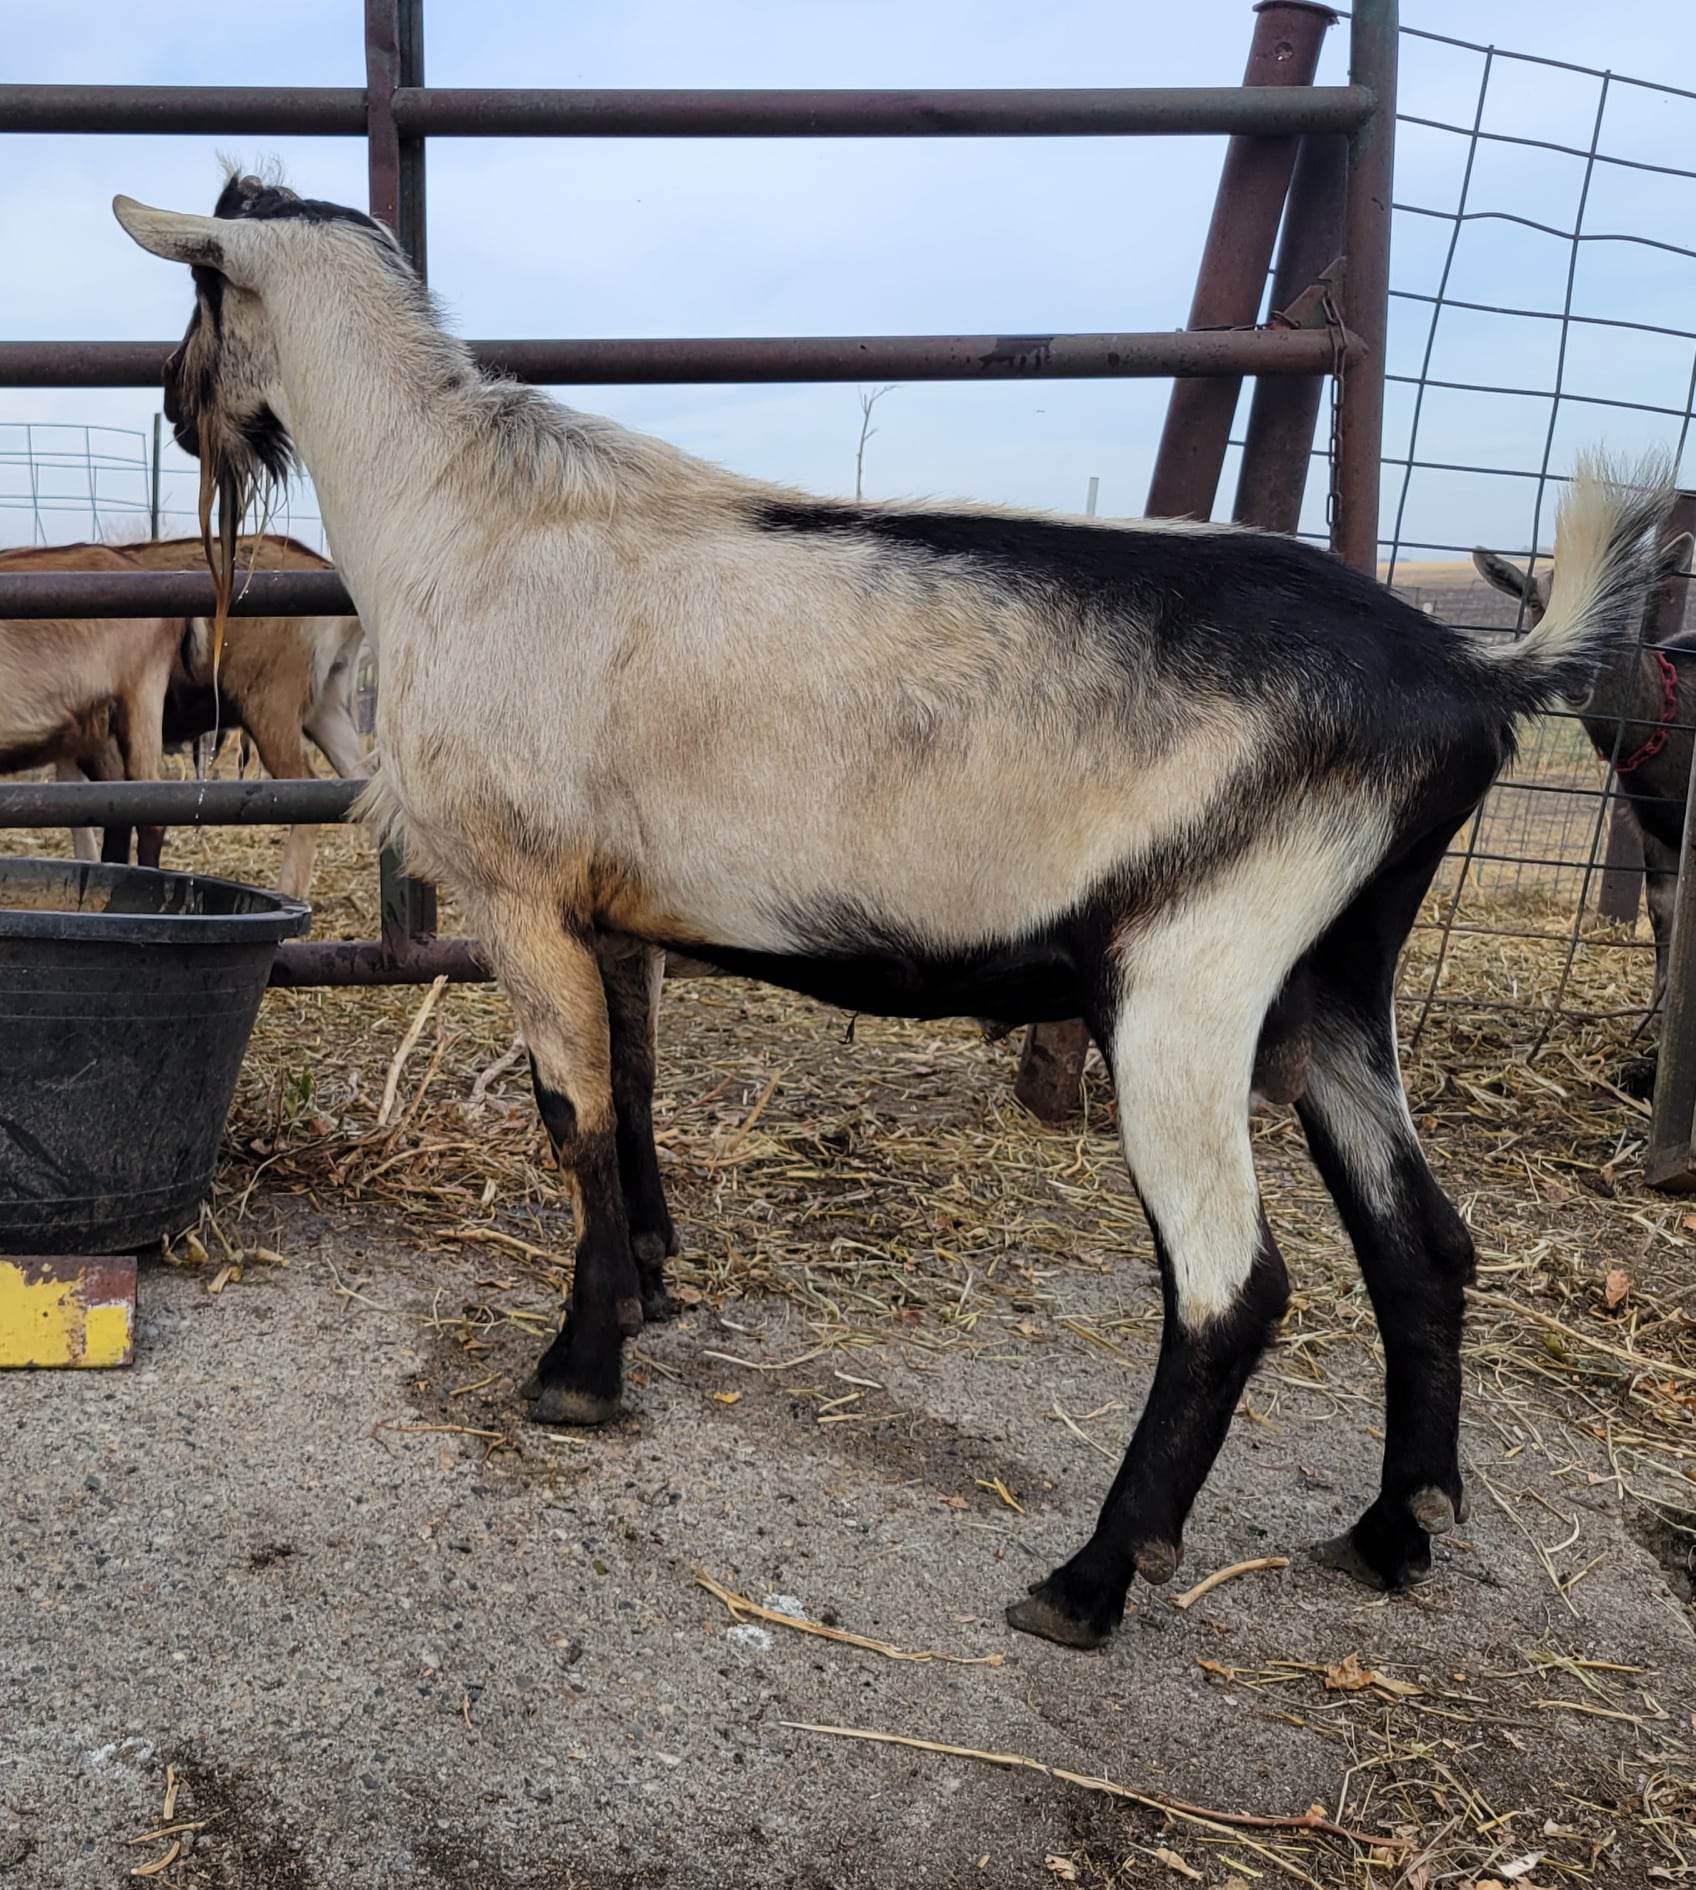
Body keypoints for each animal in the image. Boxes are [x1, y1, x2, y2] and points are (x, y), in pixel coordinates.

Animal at [1472, 537, 1694, 1079]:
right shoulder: (1653, 835)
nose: (1575, 677)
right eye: (1535, 601)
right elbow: (1664, 922)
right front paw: (1651, 1041)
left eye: (1627, 602)